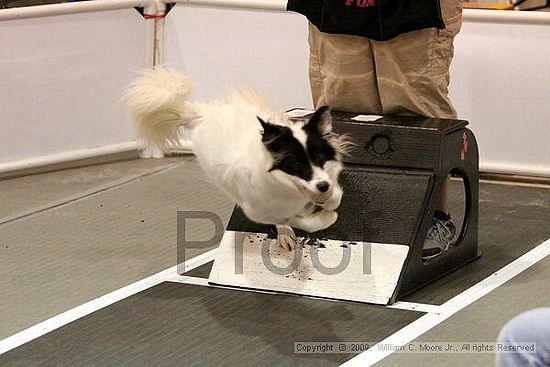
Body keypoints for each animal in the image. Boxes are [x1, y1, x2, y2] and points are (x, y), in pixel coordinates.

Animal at [125, 68, 352, 250]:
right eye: (296, 164)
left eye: (320, 157)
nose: (322, 186)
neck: (290, 188)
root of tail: (201, 115)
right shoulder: (260, 210)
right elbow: (303, 221)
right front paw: (325, 216)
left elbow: (334, 195)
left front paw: (329, 202)